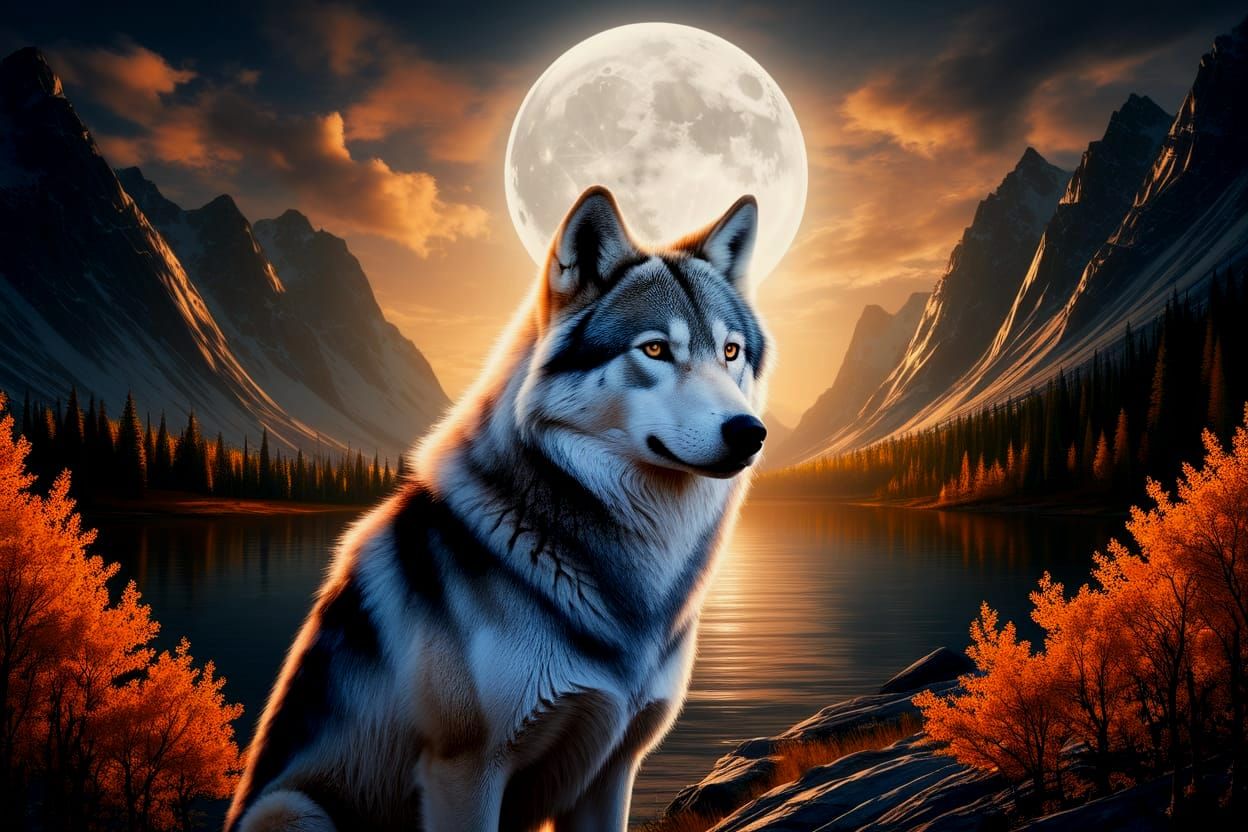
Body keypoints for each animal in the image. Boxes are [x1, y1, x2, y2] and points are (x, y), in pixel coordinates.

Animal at [225, 185, 771, 832]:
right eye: (656, 349)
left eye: (731, 351)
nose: (750, 432)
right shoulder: (465, 771)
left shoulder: (611, 770)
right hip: (289, 810)